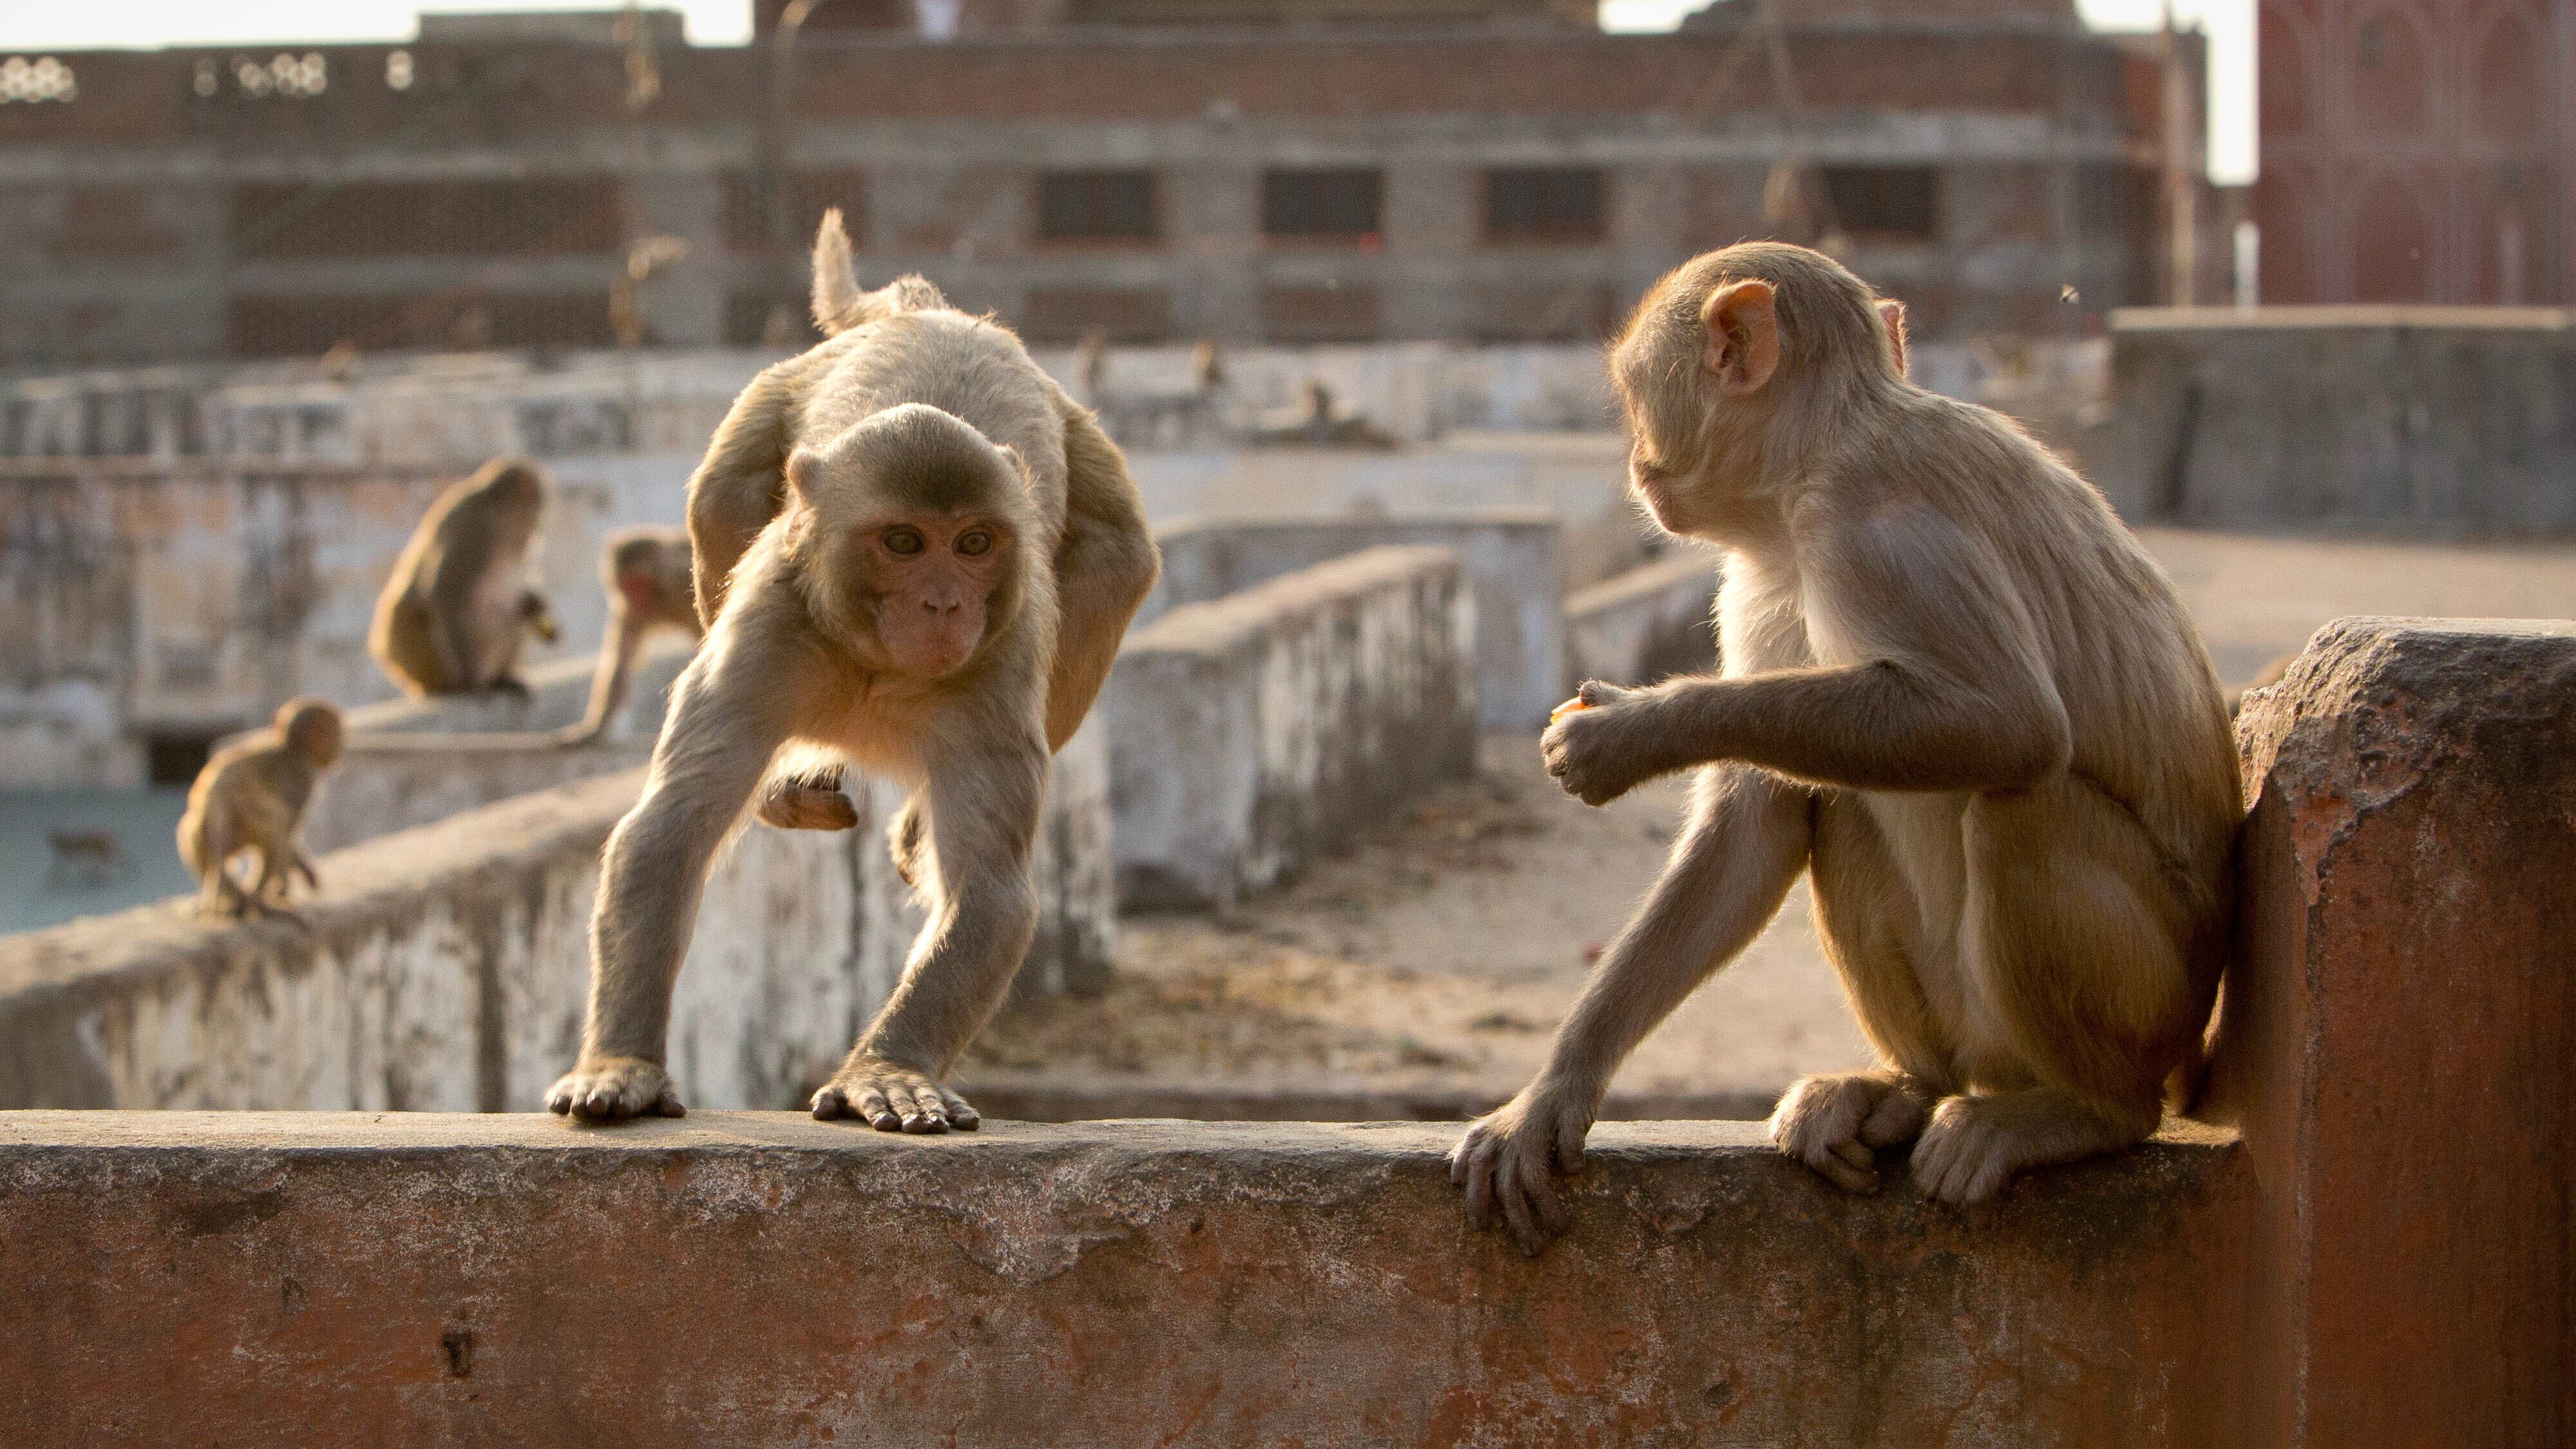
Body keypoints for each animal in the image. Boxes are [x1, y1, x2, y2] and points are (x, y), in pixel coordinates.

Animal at [176, 696, 345, 918]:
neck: (292, 749)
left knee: (188, 831)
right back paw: (256, 899)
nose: (340, 746)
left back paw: (235, 897)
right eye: (337, 733)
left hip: (211, 827)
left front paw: (302, 872)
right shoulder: (302, 781)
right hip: (246, 810)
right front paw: (284, 887)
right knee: (277, 822)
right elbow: (289, 832)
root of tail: (216, 795)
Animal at [366, 453, 556, 696]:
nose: (542, 525)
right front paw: (469, 681)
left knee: (511, 612)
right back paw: (451, 685)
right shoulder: (477, 531)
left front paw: (534, 603)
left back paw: (502, 678)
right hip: (421, 662)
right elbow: (447, 594)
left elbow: (521, 599)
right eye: (540, 502)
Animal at [549, 206, 1164, 1129]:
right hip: (769, 405)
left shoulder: (999, 666)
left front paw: (889, 1067)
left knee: (1117, 560)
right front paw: (622, 1064)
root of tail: (934, 313)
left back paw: (906, 832)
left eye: (974, 543)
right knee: (723, 492)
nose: (943, 605)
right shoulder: (766, 631)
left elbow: (990, 891)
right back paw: (791, 788)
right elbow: (668, 832)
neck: (878, 664)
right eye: (904, 542)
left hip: (1079, 445)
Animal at [1463, 242, 2246, 1247]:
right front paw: (1555, 1091)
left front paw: (1636, 729)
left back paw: (2086, 1113)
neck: (1816, 459)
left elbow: (2008, 722)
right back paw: (1909, 1085)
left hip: (2150, 1001)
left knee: (2020, 805)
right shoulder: (1757, 577)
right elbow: (1751, 827)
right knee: (1835, 798)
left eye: (1637, 392)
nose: (1637, 462)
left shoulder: (1875, 527)